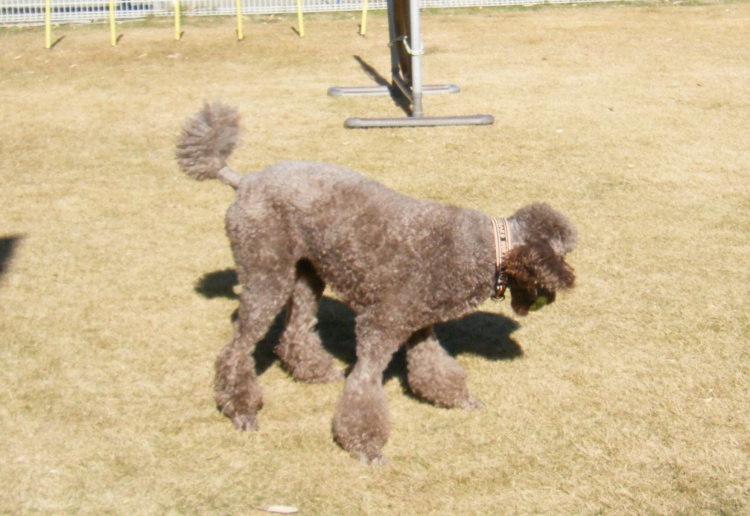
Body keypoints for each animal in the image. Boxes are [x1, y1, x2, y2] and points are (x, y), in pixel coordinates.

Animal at [175, 101, 577, 464]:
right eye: (564, 254)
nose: (569, 281)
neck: (483, 248)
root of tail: (243, 180)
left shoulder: (417, 326)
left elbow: (434, 368)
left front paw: (459, 399)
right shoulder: (379, 326)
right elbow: (364, 389)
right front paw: (365, 447)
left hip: (307, 276)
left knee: (295, 331)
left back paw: (314, 372)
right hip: (265, 275)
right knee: (236, 349)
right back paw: (241, 409)